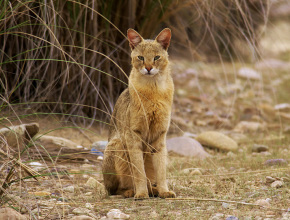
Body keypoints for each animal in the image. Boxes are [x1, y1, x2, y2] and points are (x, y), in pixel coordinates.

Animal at [102, 27, 174, 199]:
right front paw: (141, 194)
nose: (148, 68)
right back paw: (132, 191)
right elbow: (138, 171)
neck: (153, 91)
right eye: (140, 57)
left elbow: (161, 171)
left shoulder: (160, 137)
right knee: (114, 190)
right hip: (117, 145)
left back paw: (153, 190)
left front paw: (164, 191)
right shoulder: (133, 136)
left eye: (156, 57)